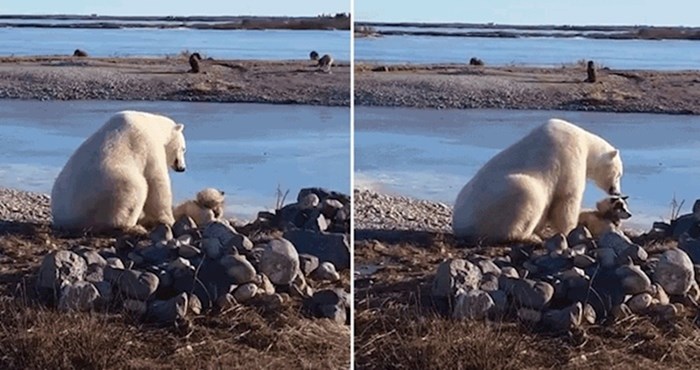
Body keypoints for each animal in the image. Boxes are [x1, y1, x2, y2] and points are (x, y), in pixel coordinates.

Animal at [52, 109, 187, 234]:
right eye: (184, 148)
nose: (182, 168)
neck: (154, 125)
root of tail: (67, 220)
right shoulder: (148, 145)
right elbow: (156, 181)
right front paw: (169, 219)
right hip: (112, 185)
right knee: (136, 189)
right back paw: (133, 226)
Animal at [454, 118, 624, 244]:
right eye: (619, 174)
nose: (616, 191)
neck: (586, 141)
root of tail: (461, 226)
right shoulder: (569, 157)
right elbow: (567, 198)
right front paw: (570, 230)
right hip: (495, 203)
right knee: (527, 193)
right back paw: (529, 237)